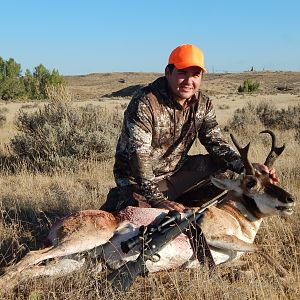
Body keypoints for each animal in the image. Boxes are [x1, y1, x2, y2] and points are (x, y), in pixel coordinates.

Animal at [0, 131, 296, 290]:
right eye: (251, 182)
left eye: (272, 179)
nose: (290, 199)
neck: (233, 215)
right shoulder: (213, 236)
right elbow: (261, 249)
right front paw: (285, 275)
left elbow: (246, 263)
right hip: (83, 240)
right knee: (31, 256)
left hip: (74, 263)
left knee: (32, 270)